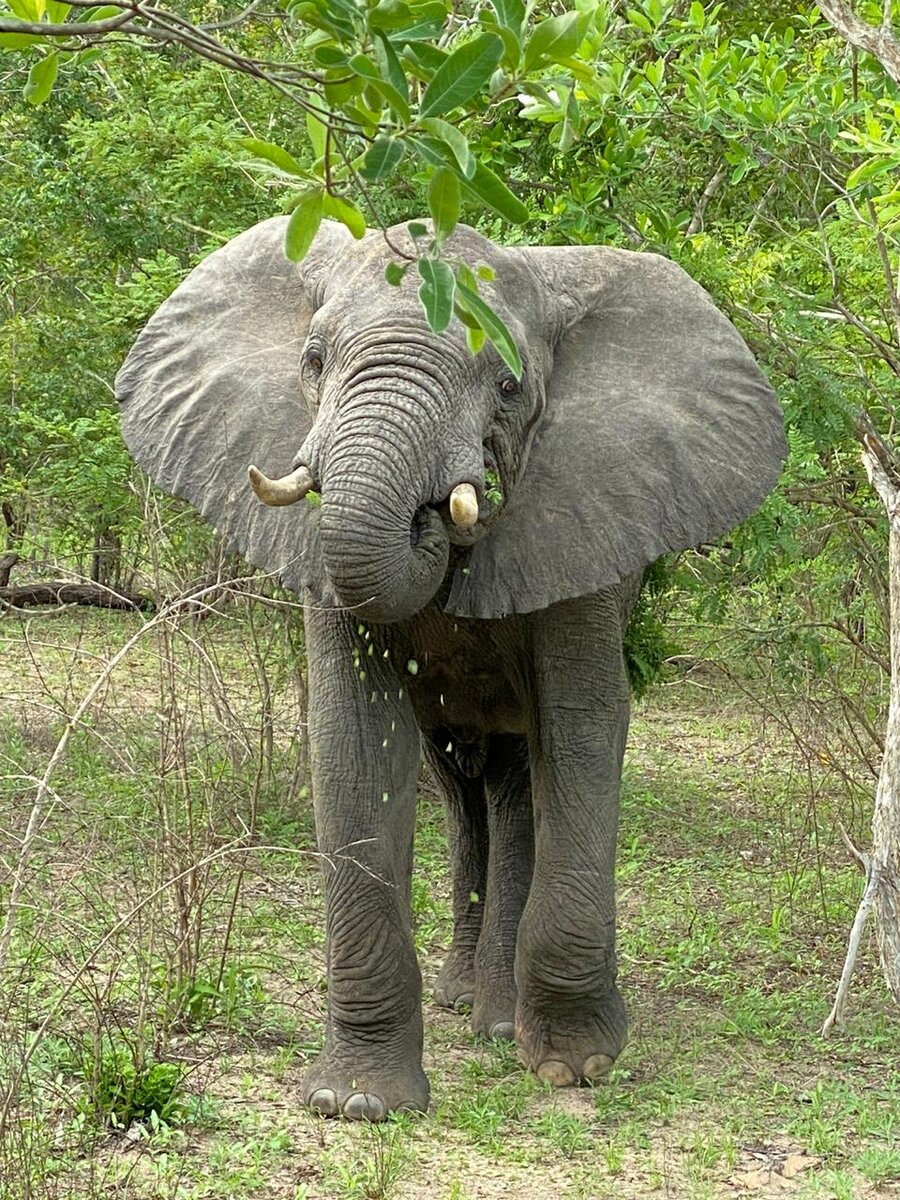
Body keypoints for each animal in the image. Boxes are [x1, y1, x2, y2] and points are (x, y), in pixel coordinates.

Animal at [116, 217, 785, 1121]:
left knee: (517, 787)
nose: (432, 516)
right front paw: (357, 1103)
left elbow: (582, 728)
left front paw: (575, 1065)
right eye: (314, 360)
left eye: (506, 385)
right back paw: (463, 999)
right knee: (467, 797)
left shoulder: (590, 521)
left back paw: (498, 1021)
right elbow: (355, 739)